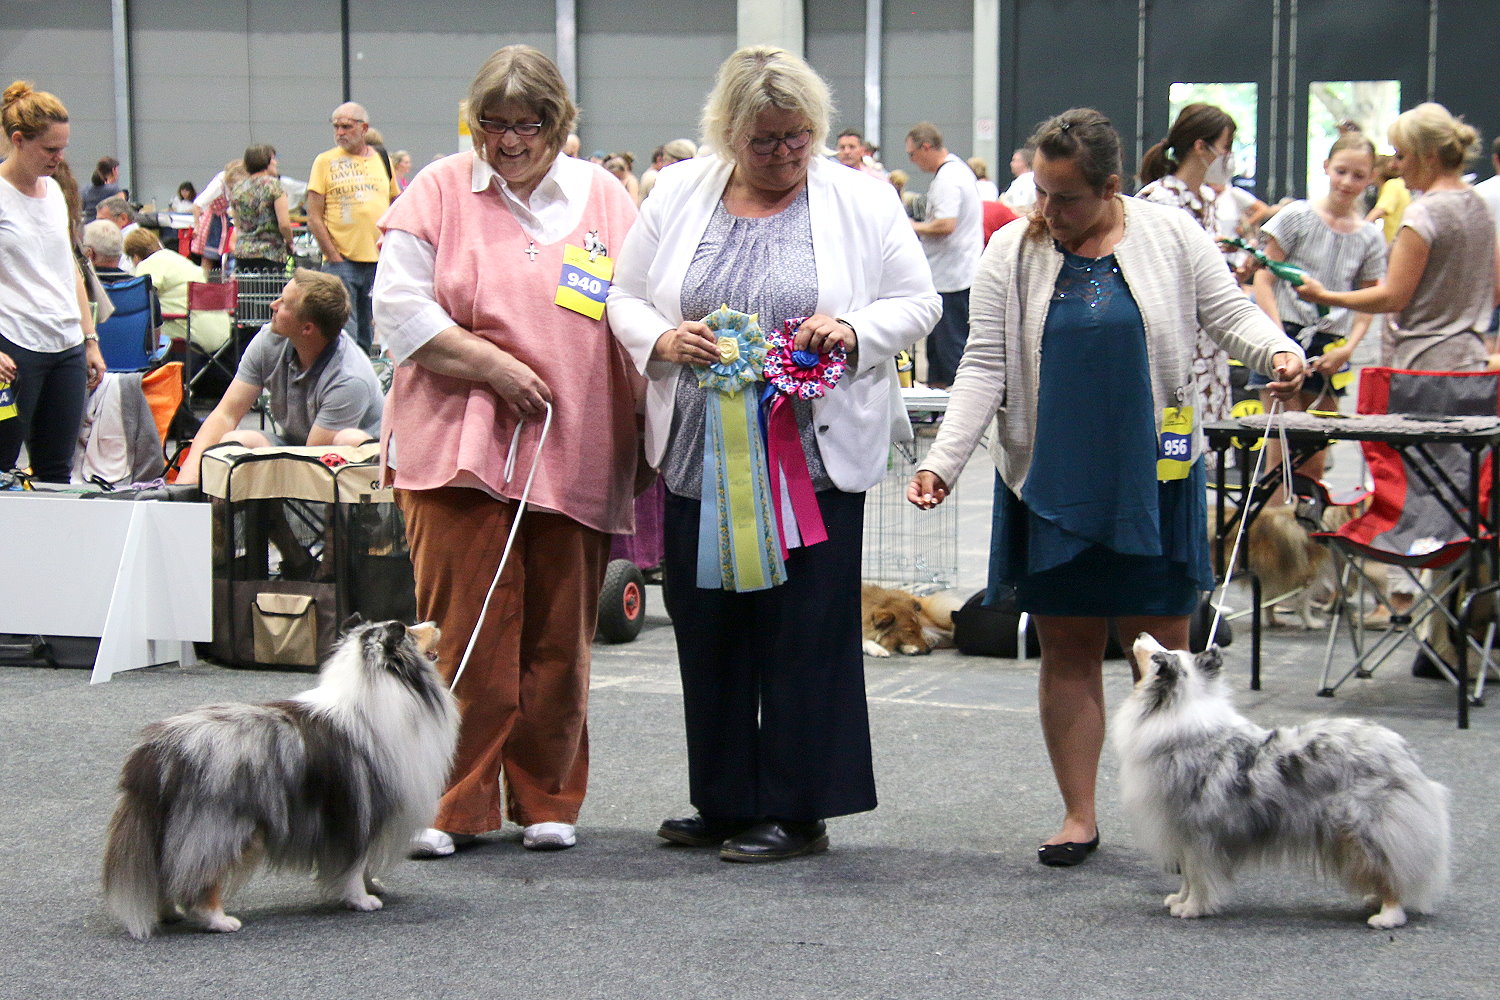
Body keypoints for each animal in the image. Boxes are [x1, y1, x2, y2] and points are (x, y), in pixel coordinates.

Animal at [104, 617, 456, 941]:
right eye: (409, 630)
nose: (434, 622)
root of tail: (156, 751)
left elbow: (364, 863)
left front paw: (373, 886)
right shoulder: (358, 809)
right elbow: (355, 863)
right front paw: (362, 899)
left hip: (167, 830)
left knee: (165, 876)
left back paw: (169, 914)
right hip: (217, 830)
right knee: (202, 881)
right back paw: (219, 920)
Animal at [1116, 632, 1452, 929]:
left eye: (1159, 655)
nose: (1141, 633)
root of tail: (1403, 753)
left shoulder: (1197, 833)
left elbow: (1198, 876)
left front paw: (1193, 908)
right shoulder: (1183, 834)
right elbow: (1187, 875)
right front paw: (1179, 899)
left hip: (1367, 829)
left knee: (1391, 871)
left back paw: (1387, 915)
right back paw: (1374, 898)